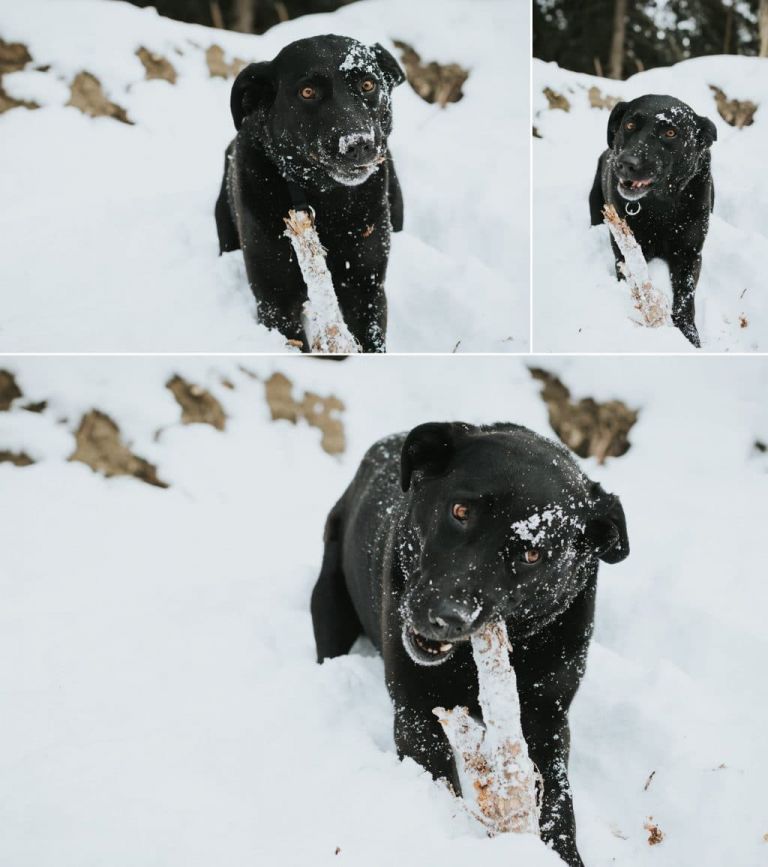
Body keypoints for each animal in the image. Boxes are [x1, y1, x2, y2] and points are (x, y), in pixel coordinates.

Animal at [214, 34, 408, 352]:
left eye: (368, 84)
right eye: (307, 92)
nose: (358, 143)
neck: (328, 199)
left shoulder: (366, 288)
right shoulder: (274, 299)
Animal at [312, 424, 632, 864]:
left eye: (532, 554)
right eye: (461, 511)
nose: (447, 616)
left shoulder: (546, 719)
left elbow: (557, 802)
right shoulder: (416, 710)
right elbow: (440, 784)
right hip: (329, 601)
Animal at [588, 94, 720, 346]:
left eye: (670, 132)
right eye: (630, 125)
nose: (626, 163)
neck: (660, 206)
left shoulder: (689, 254)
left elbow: (685, 299)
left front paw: (690, 337)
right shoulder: (624, 252)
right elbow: (636, 283)